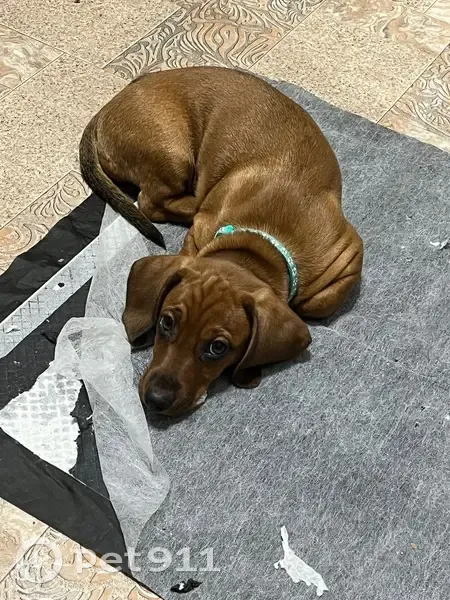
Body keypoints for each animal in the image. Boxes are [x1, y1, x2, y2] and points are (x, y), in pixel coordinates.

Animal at [79, 67, 363, 416]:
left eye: (218, 348)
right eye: (166, 322)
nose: (155, 400)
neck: (260, 243)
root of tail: (107, 108)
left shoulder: (349, 256)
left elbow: (320, 304)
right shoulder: (198, 238)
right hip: (173, 154)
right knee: (151, 202)